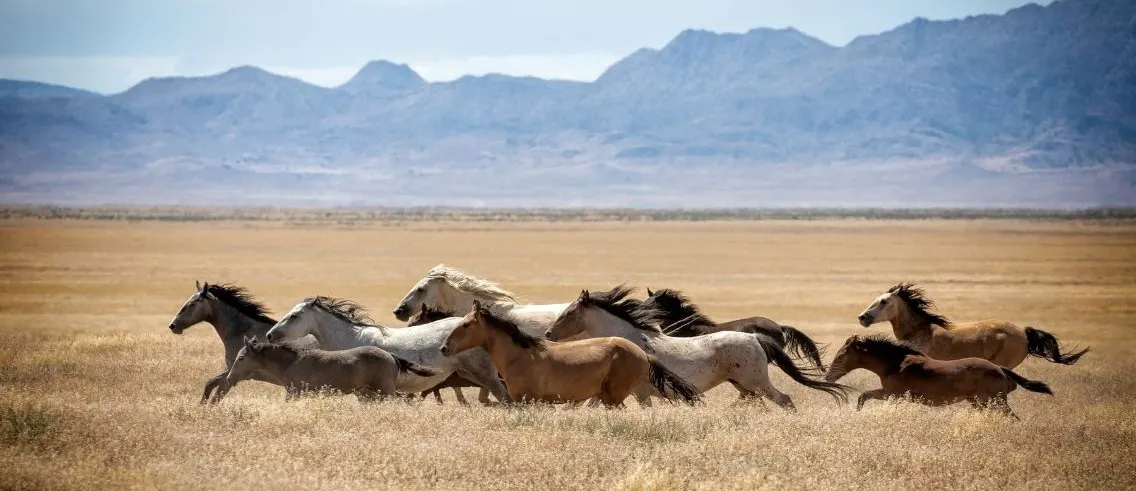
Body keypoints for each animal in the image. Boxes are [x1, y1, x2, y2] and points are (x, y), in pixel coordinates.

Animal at [167, 281, 318, 404]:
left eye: (192, 304)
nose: (173, 325)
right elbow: (209, 384)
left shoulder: (233, 375)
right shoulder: (230, 371)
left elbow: (216, 397)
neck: (244, 332)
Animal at [227, 337, 436, 401]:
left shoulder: (294, 392)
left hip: (385, 390)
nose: (229, 378)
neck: (291, 362)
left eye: (241, 358)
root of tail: (391, 356)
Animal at [441, 301, 700, 407]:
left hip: (614, 397)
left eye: (466, 325)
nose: (444, 347)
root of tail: (644, 355)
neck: (521, 356)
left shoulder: (528, 399)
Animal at [825, 334, 1054, 418]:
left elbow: (863, 395)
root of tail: (1000, 369)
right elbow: (864, 395)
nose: (828, 376)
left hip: (994, 401)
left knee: (1012, 417)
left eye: (841, 355)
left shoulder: (892, 393)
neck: (895, 363)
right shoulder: (893, 394)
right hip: (979, 402)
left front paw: (856, 412)